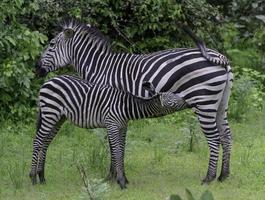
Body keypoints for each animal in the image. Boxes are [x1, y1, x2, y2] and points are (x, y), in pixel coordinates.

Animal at [29, 74, 187, 188]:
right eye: (172, 97)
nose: (187, 101)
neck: (126, 107)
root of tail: (47, 82)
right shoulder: (112, 125)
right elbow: (116, 152)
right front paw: (121, 182)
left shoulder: (123, 127)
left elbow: (122, 152)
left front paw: (124, 179)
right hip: (50, 113)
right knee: (38, 141)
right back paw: (33, 178)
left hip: (58, 118)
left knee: (45, 142)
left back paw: (42, 177)